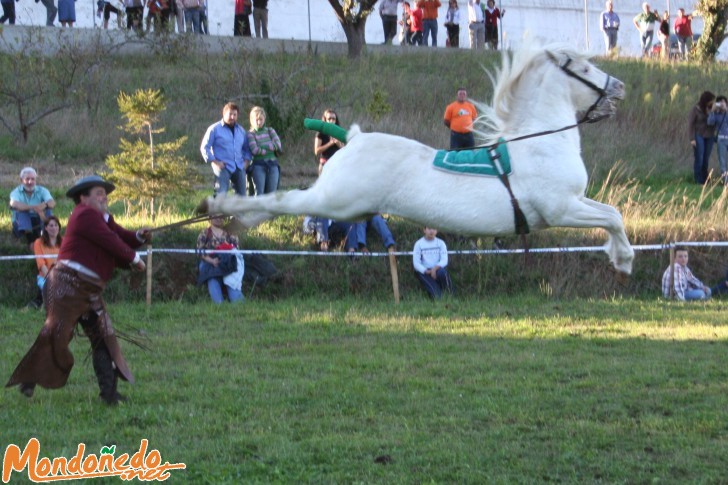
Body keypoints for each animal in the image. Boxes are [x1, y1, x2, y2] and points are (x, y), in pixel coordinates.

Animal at [203, 41, 632, 274]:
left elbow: (612, 214)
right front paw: (625, 259)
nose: (619, 88)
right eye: (585, 67)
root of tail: (353, 138)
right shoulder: (561, 209)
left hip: (350, 206)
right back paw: (223, 207)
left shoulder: (574, 203)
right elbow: (612, 216)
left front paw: (616, 256)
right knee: (281, 200)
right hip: (334, 200)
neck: (541, 143)